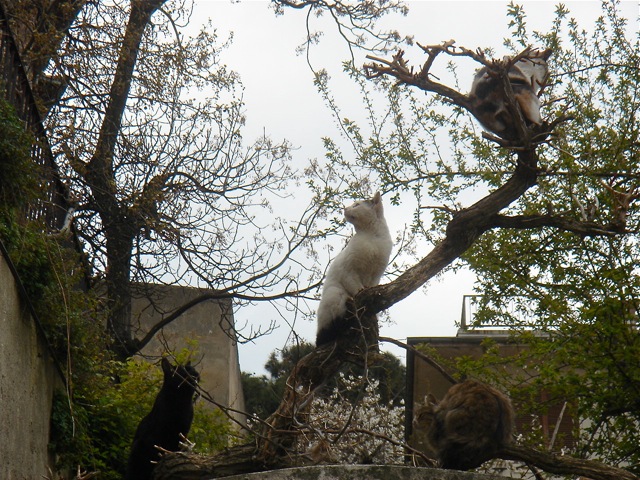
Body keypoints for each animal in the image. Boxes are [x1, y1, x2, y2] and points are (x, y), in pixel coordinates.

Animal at [316, 191, 393, 346]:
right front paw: (360, 292)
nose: (345, 208)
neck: (370, 236)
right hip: (335, 293)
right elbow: (356, 287)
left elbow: (371, 286)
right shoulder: (348, 271)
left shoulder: (377, 273)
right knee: (325, 332)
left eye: (356, 205)